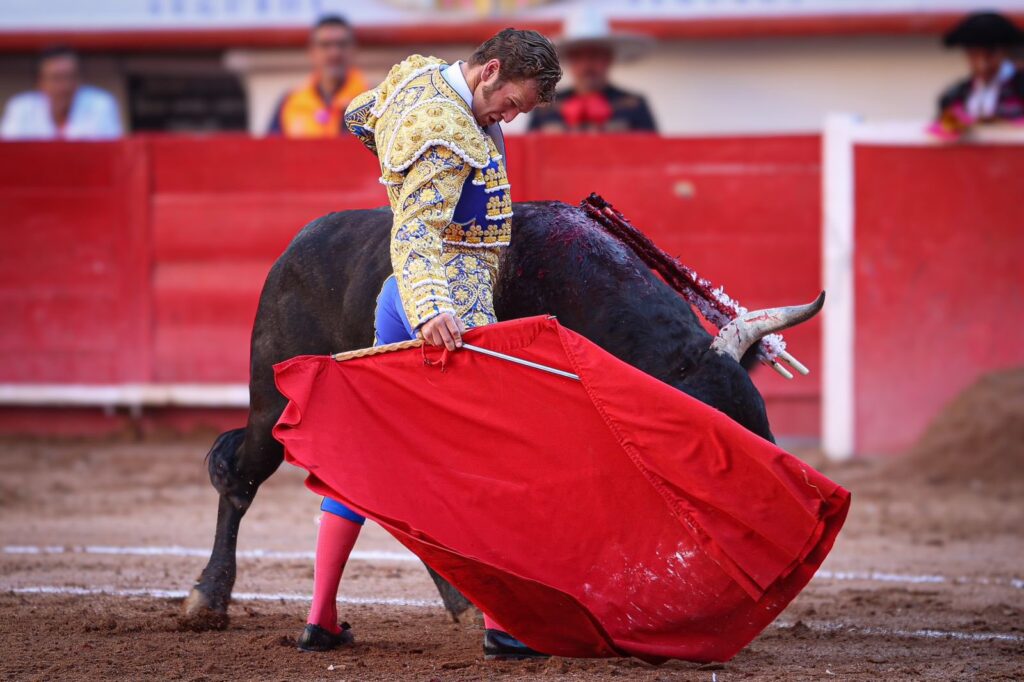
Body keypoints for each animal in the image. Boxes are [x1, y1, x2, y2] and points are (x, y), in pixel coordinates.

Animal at [180, 197, 823, 626]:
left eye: (761, 428)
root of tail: (294, 248)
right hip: (273, 402)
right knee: (239, 474)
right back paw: (207, 598)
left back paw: (466, 604)